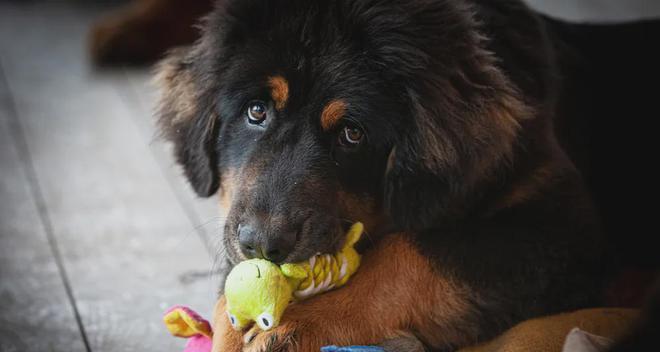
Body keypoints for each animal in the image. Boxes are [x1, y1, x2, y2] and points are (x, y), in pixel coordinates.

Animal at [152, 0, 656, 352]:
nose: (262, 245)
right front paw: (233, 326)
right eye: (256, 111)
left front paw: (296, 325)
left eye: (352, 134)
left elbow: (409, 255)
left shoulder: (563, 223)